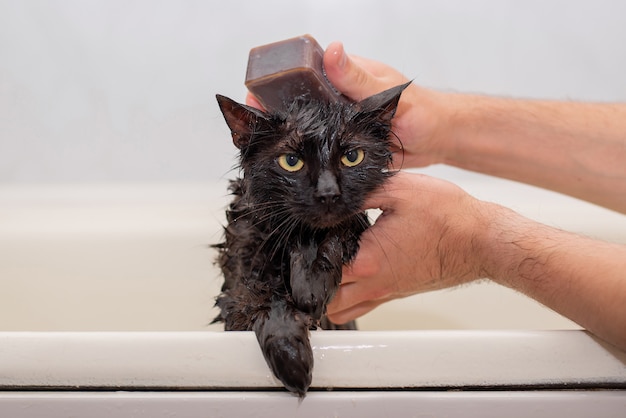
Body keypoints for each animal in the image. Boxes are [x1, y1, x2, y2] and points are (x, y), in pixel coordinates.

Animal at [214, 82, 410, 398]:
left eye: (352, 157)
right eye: (291, 162)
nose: (328, 193)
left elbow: (338, 233)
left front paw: (311, 280)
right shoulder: (234, 288)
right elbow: (263, 299)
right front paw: (291, 357)